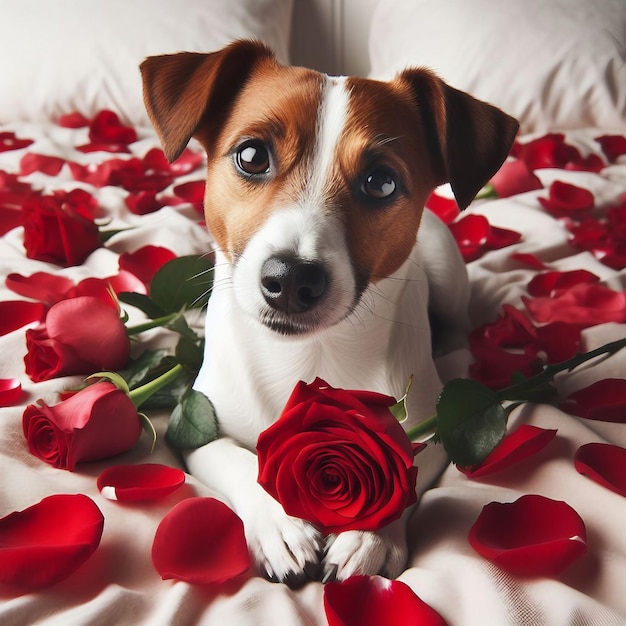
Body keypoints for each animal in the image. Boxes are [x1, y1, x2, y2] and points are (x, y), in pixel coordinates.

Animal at [141, 39, 516, 584]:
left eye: (381, 182)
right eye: (251, 156)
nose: (291, 279)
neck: (309, 356)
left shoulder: (439, 429)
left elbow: (406, 467)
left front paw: (370, 535)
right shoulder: (194, 426)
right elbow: (233, 458)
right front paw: (280, 526)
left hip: (447, 271)